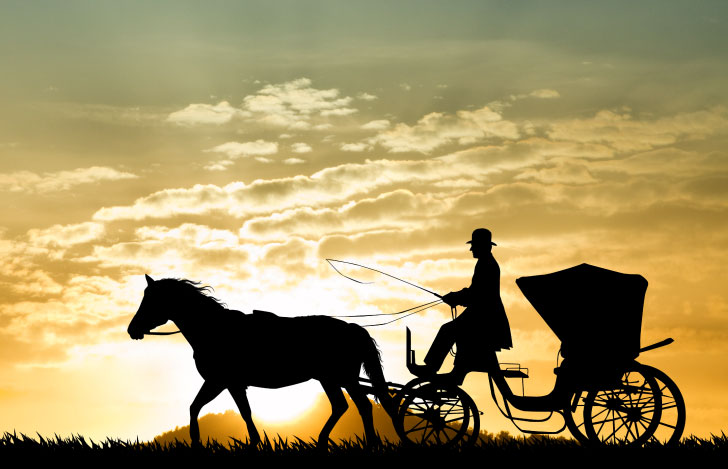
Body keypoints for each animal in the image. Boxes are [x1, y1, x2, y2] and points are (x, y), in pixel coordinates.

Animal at [127, 275, 393, 450]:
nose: (132, 330)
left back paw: (368, 444)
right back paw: (322, 443)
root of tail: (352, 328)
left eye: (150, 300)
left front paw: (198, 443)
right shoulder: (229, 384)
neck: (214, 329)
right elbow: (236, 411)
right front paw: (253, 442)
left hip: (343, 377)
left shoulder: (219, 381)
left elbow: (204, 409)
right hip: (329, 379)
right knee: (342, 406)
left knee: (362, 406)